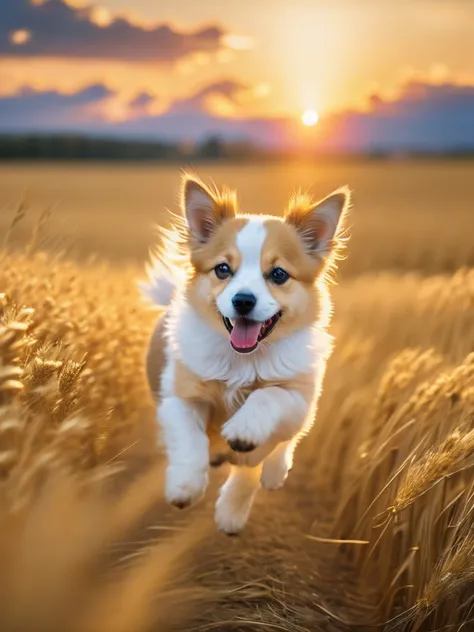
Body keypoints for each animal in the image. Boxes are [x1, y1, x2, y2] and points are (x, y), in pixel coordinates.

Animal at [141, 173, 348, 532]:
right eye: (223, 269)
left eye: (278, 274)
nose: (243, 300)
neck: (243, 360)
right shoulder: (179, 398)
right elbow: (190, 440)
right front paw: (184, 486)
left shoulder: (299, 400)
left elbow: (265, 405)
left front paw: (231, 512)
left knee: (283, 444)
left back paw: (273, 473)